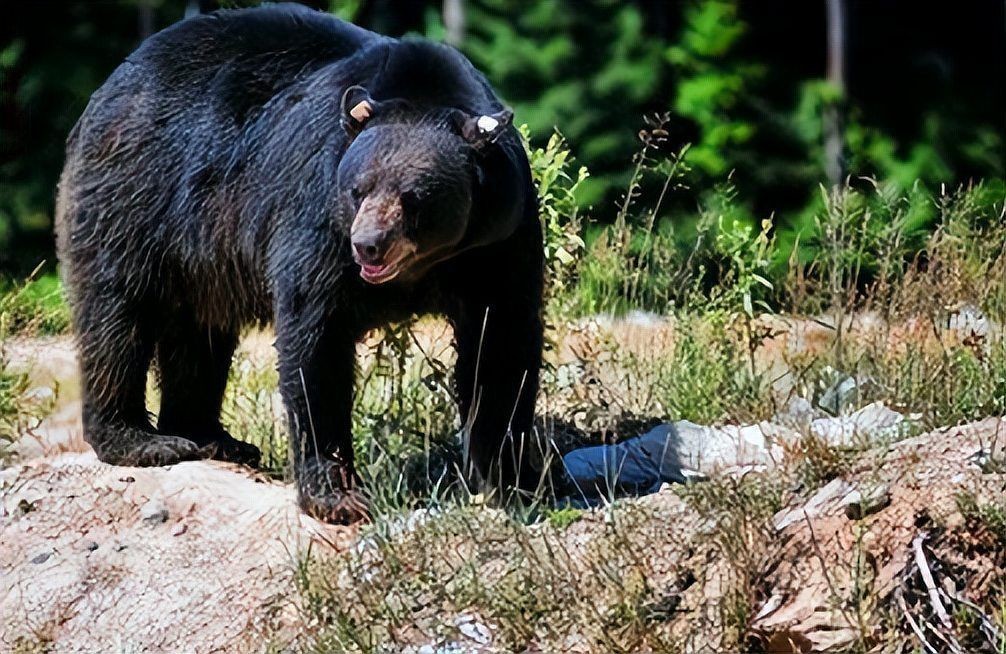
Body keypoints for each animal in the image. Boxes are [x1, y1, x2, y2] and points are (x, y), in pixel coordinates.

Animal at [55, 3, 544, 523]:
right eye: (357, 189)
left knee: (199, 333)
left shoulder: (498, 242)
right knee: (117, 313)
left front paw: (514, 479)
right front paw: (337, 495)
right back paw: (142, 440)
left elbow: (502, 344)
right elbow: (316, 338)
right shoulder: (315, 218)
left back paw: (213, 437)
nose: (368, 245)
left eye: (413, 197)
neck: (428, 265)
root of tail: (112, 83)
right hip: (138, 196)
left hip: (201, 251)